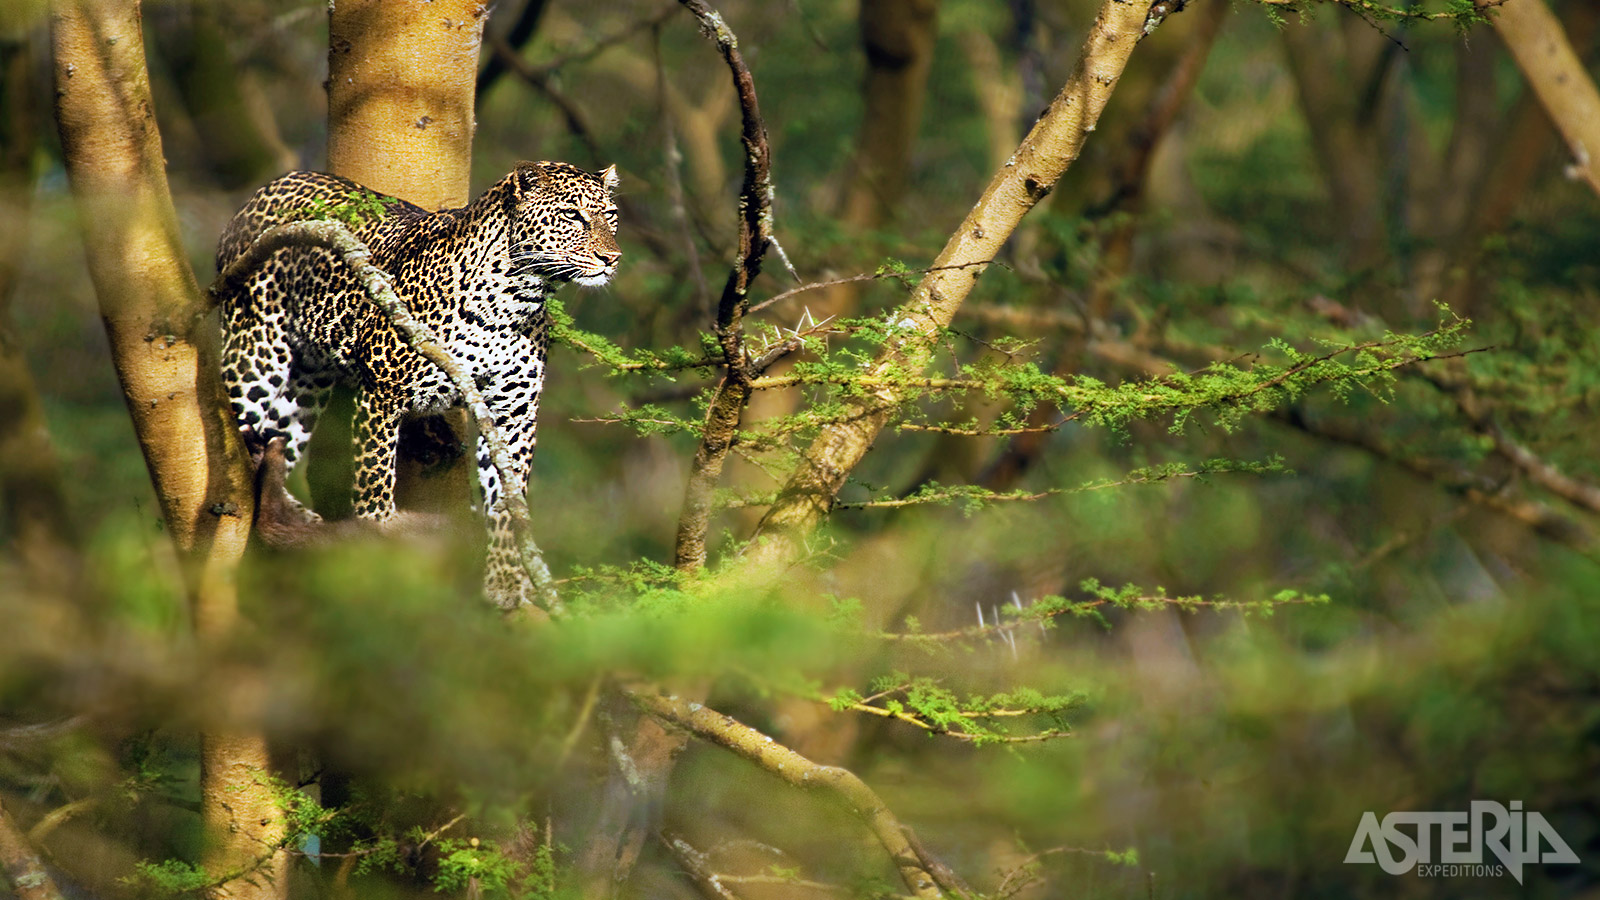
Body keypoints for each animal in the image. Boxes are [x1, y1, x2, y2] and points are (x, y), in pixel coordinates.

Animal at [208, 160, 617, 608]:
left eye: (611, 216)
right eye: (573, 216)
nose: (612, 257)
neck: (515, 298)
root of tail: (265, 189)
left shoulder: (514, 413)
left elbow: (508, 506)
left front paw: (507, 582)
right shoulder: (382, 395)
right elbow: (374, 489)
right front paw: (377, 554)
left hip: (305, 384)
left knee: (276, 447)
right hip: (255, 356)